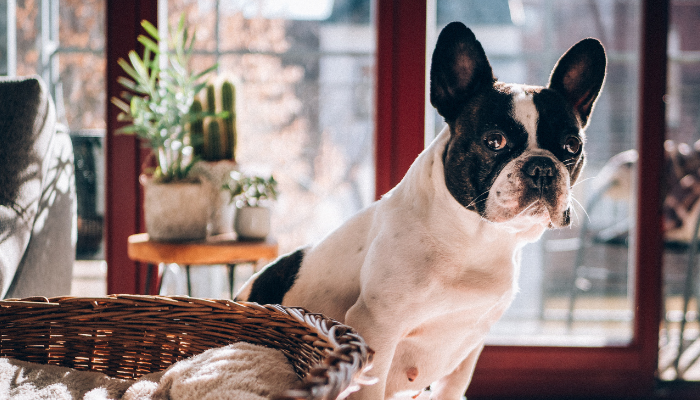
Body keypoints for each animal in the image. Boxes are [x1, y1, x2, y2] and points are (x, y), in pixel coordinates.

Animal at [237, 21, 608, 400]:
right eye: (495, 141)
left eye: (572, 146)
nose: (542, 167)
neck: (476, 239)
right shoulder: (378, 327)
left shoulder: (469, 345)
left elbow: (453, 387)